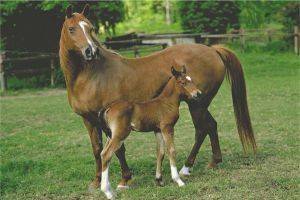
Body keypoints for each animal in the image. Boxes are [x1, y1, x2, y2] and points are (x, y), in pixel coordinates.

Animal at [98, 66, 202, 198]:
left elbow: (160, 152)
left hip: (110, 135)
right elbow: (171, 150)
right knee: (107, 154)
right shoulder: (167, 128)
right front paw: (178, 180)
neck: (166, 103)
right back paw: (108, 192)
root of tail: (109, 107)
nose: (198, 93)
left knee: (103, 153)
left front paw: (159, 180)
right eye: (182, 82)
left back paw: (109, 190)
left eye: (191, 80)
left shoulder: (158, 130)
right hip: (120, 134)